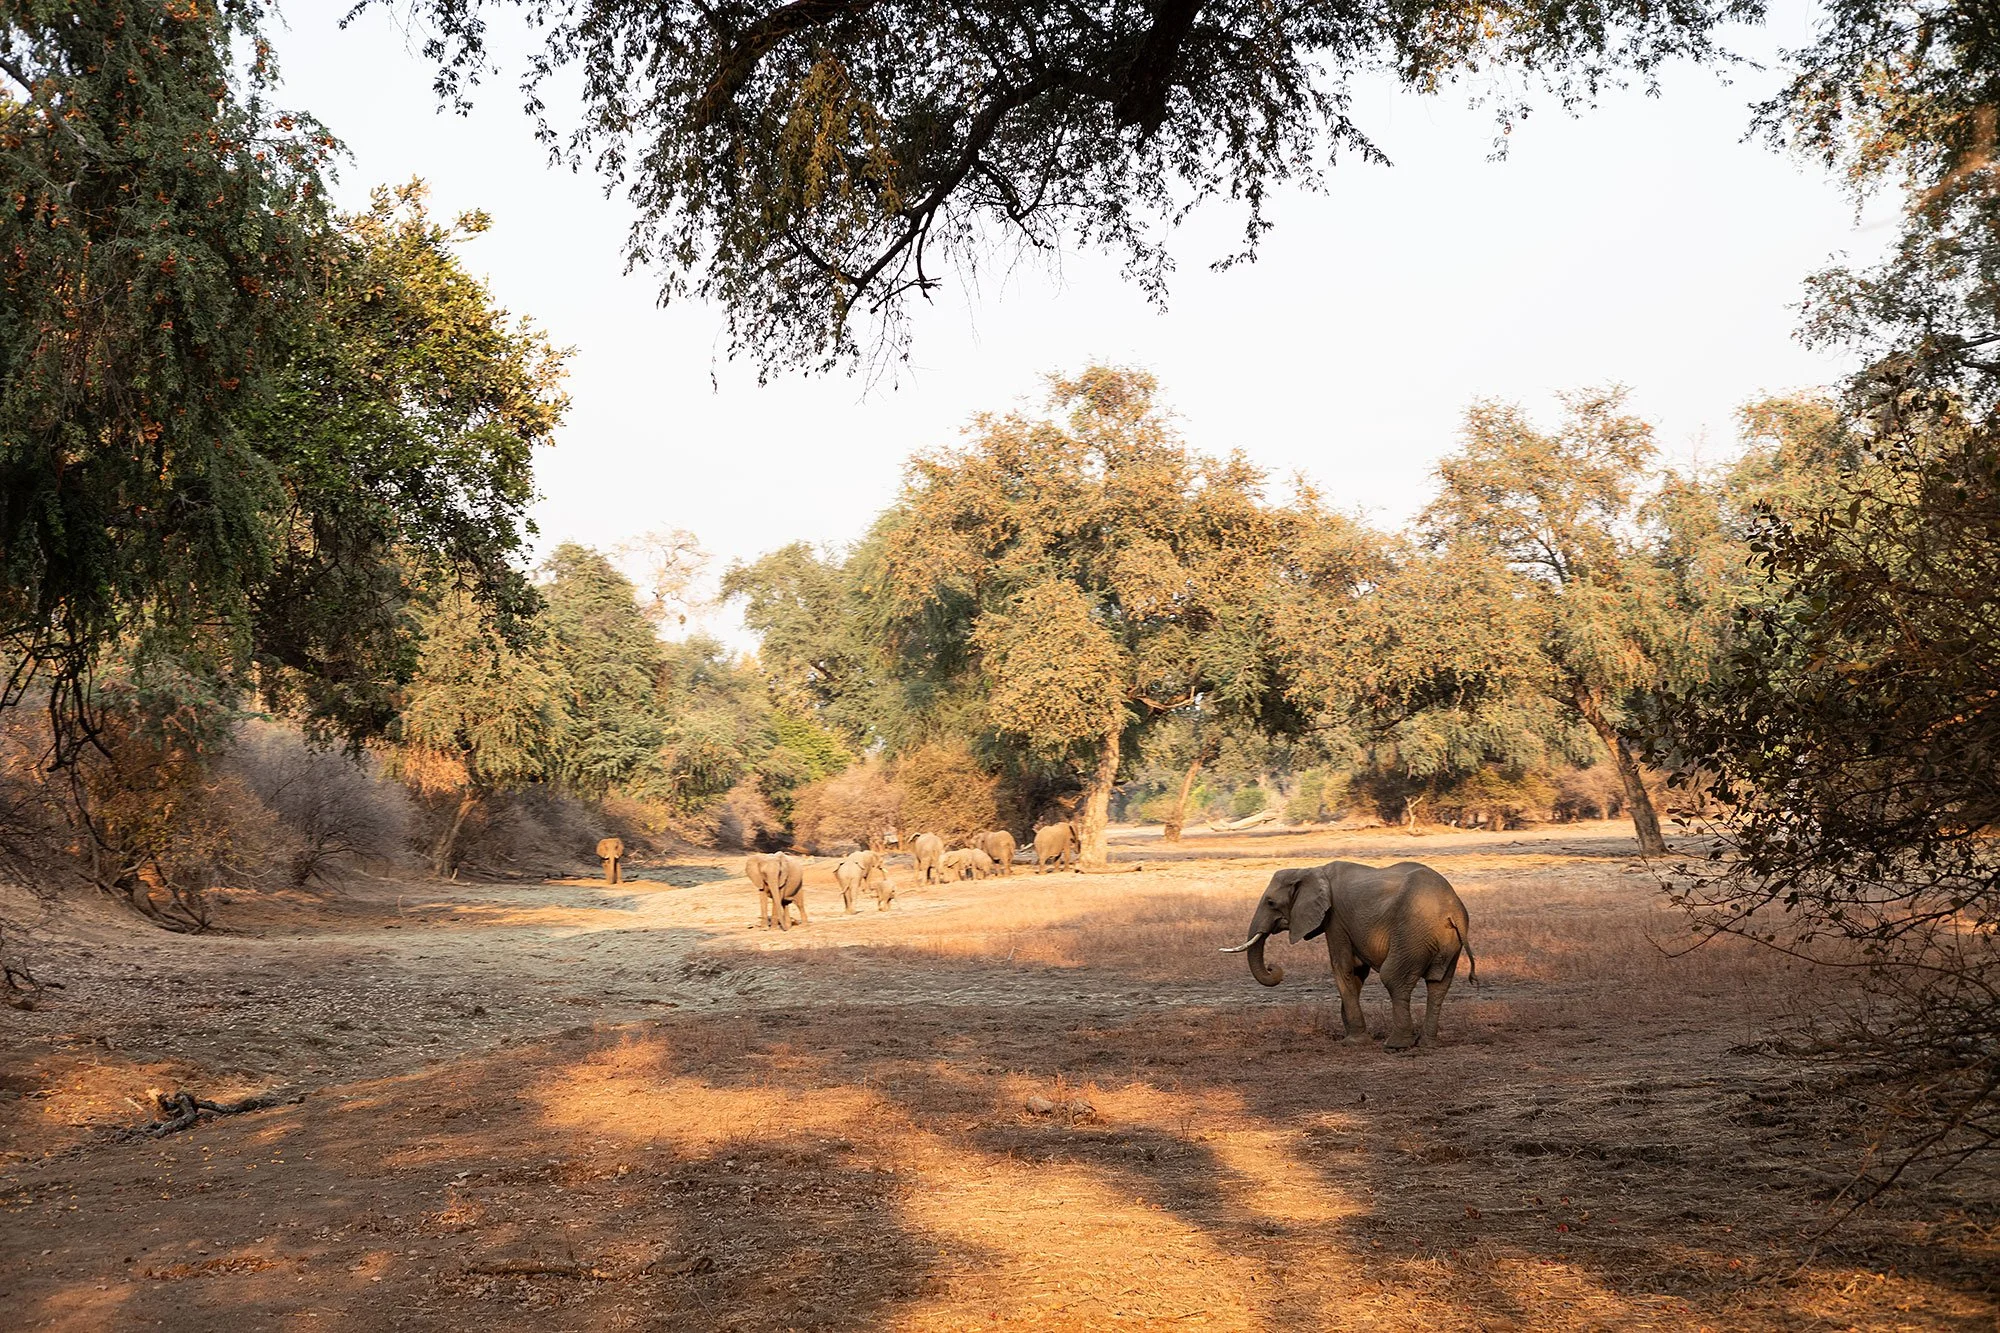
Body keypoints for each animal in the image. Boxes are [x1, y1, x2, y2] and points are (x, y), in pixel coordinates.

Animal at [1221, 860, 1475, 1051]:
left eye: (1271, 902)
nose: (1274, 968)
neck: (1311, 870)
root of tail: (1453, 911)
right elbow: (1357, 972)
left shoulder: (1335, 919)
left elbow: (1342, 967)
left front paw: (1353, 1042)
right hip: (1445, 943)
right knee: (1438, 985)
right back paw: (1427, 1044)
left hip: (1413, 934)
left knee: (1394, 979)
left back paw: (1396, 1045)